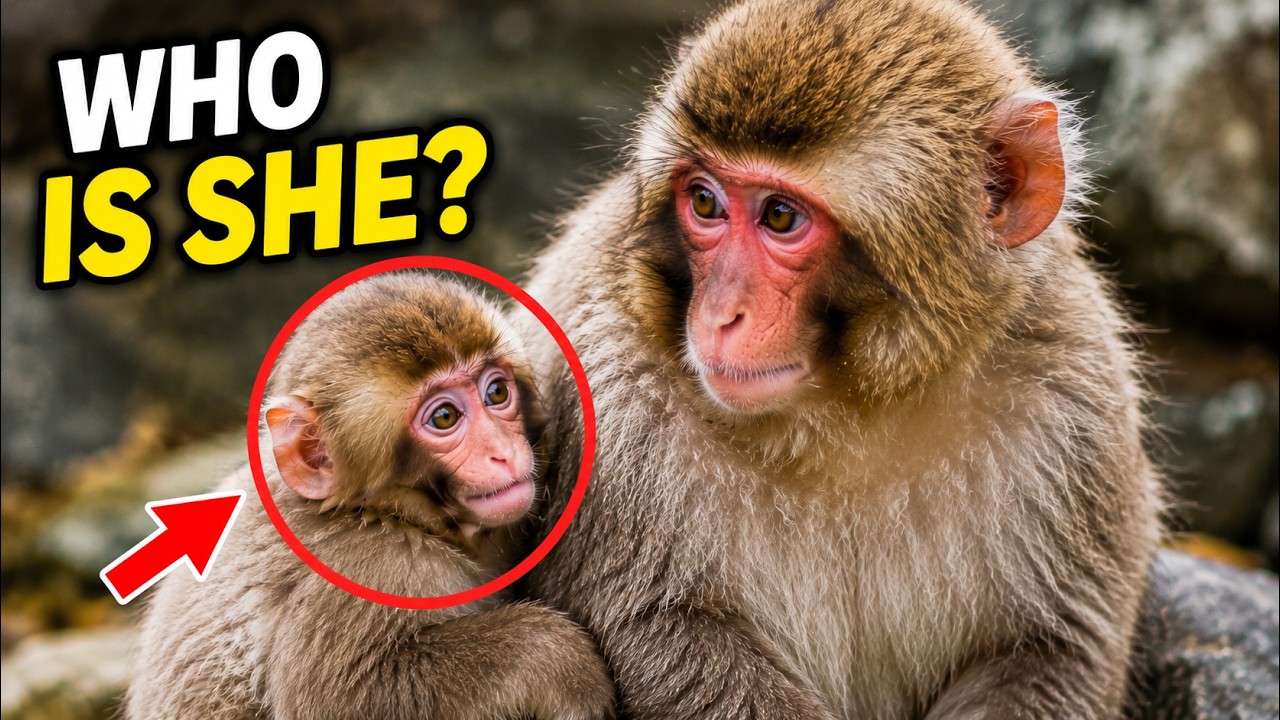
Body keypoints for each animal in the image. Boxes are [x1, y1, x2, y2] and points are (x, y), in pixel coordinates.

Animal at [125, 270, 615, 720]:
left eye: (496, 391)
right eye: (444, 417)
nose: (503, 453)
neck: (380, 513)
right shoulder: (367, 568)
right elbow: (340, 699)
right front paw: (559, 663)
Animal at [515, 0, 1163, 718]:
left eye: (780, 216)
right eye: (705, 202)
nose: (717, 316)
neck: (852, 411)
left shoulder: (1076, 397)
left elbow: (1052, 652)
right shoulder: (610, 388)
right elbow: (668, 633)